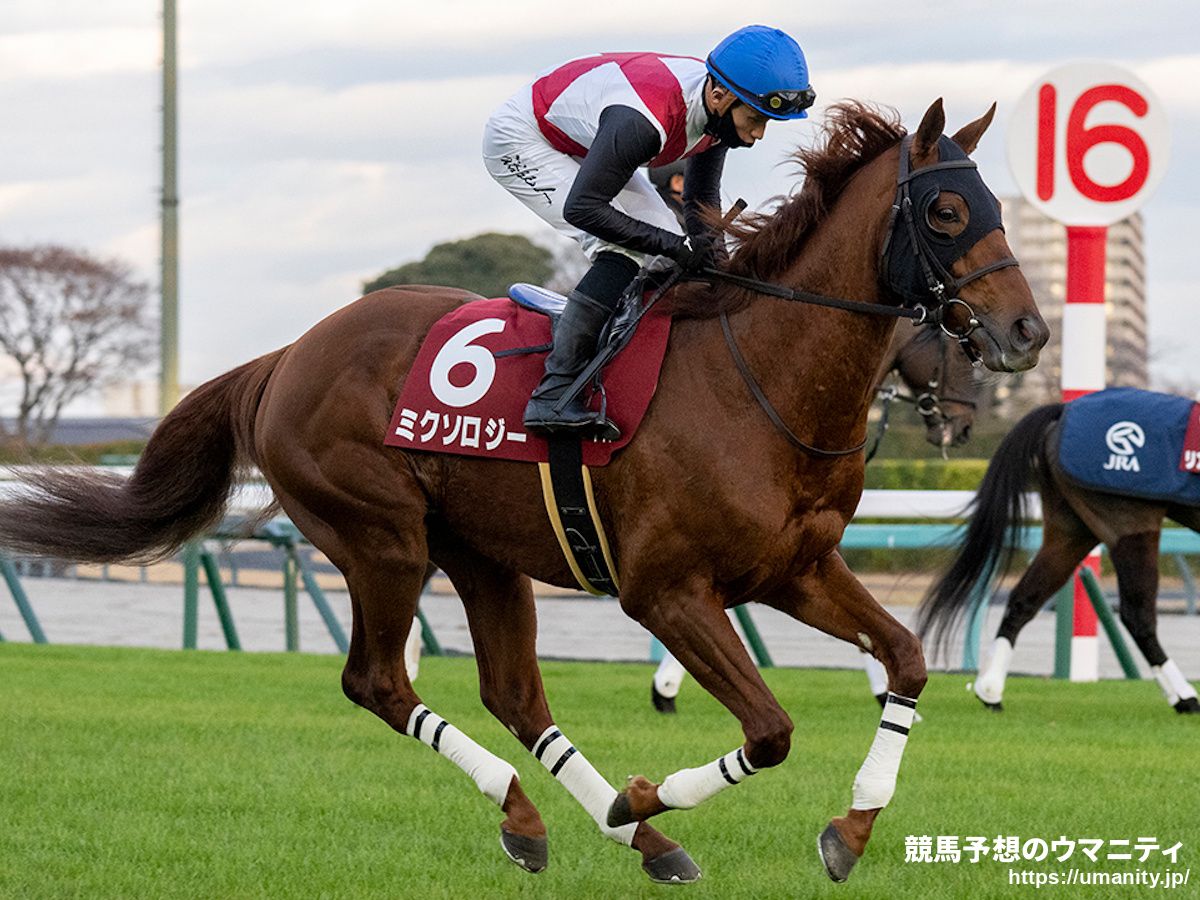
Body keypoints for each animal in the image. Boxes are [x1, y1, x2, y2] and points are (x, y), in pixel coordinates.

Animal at [916, 402, 1200, 714]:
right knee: (1137, 614)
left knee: (1025, 598)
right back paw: (1184, 696)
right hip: (1128, 522)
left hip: (1072, 529)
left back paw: (990, 689)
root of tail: (1065, 410)